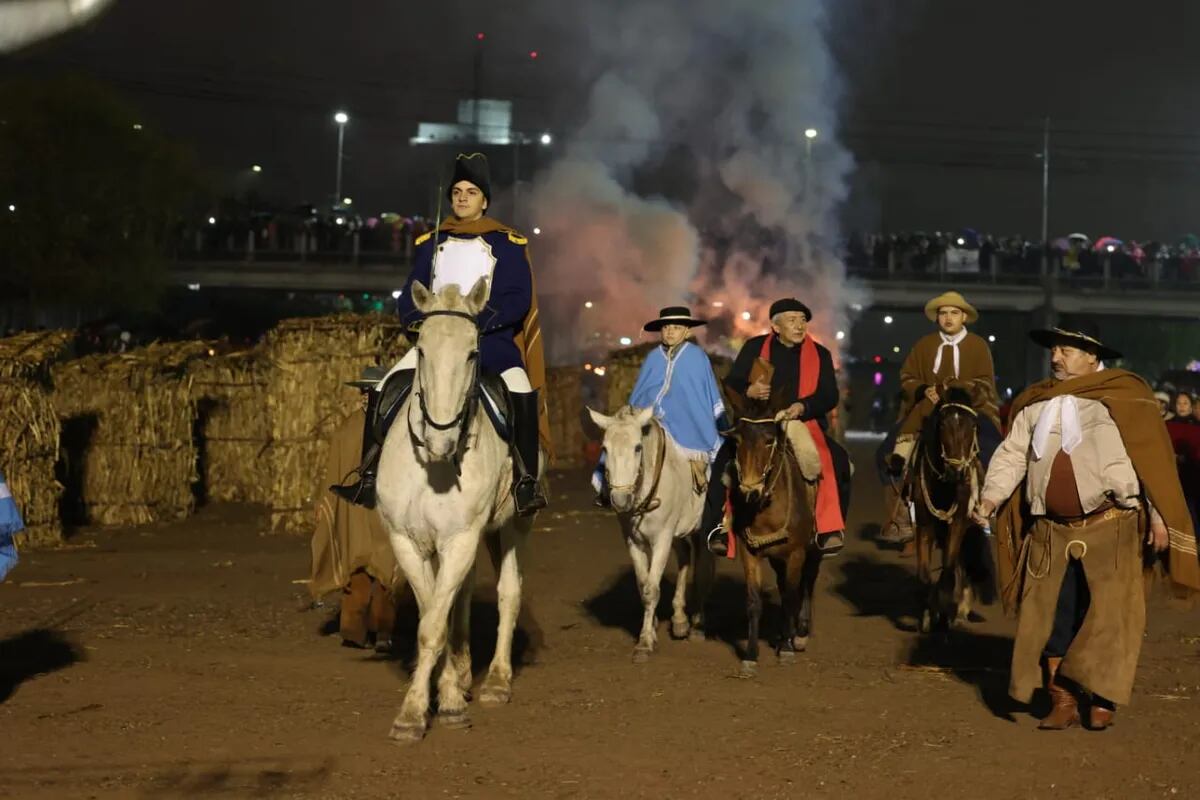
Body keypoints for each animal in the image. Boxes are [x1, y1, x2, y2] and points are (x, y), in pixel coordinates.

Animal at [376, 280, 537, 743]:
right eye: (422, 350)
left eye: (471, 352)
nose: (441, 440)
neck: (434, 467)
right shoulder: (407, 541)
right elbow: (434, 616)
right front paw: (443, 692)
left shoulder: (461, 539)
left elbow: (434, 624)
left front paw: (417, 712)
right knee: (460, 596)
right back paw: (464, 674)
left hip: (514, 524)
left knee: (509, 592)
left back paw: (496, 681)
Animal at [588, 407, 710, 662]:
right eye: (604, 448)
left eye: (637, 447)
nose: (620, 500)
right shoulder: (633, 541)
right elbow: (643, 586)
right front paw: (651, 629)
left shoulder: (662, 539)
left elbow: (652, 589)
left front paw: (644, 643)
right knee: (685, 556)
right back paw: (680, 619)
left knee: (703, 566)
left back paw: (697, 623)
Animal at [724, 402, 820, 681]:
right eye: (737, 440)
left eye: (769, 441)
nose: (749, 492)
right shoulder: (750, 552)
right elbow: (755, 602)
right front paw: (750, 656)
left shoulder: (797, 552)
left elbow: (790, 596)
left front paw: (787, 648)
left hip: (814, 550)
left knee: (808, 582)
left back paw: (799, 633)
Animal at [907, 383, 993, 633]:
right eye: (943, 424)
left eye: (973, 425)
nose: (957, 471)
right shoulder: (924, 524)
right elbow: (924, 575)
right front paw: (928, 615)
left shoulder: (958, 523)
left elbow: (947, 571)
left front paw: (945, 616)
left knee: (959, 566)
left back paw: (960, 609)